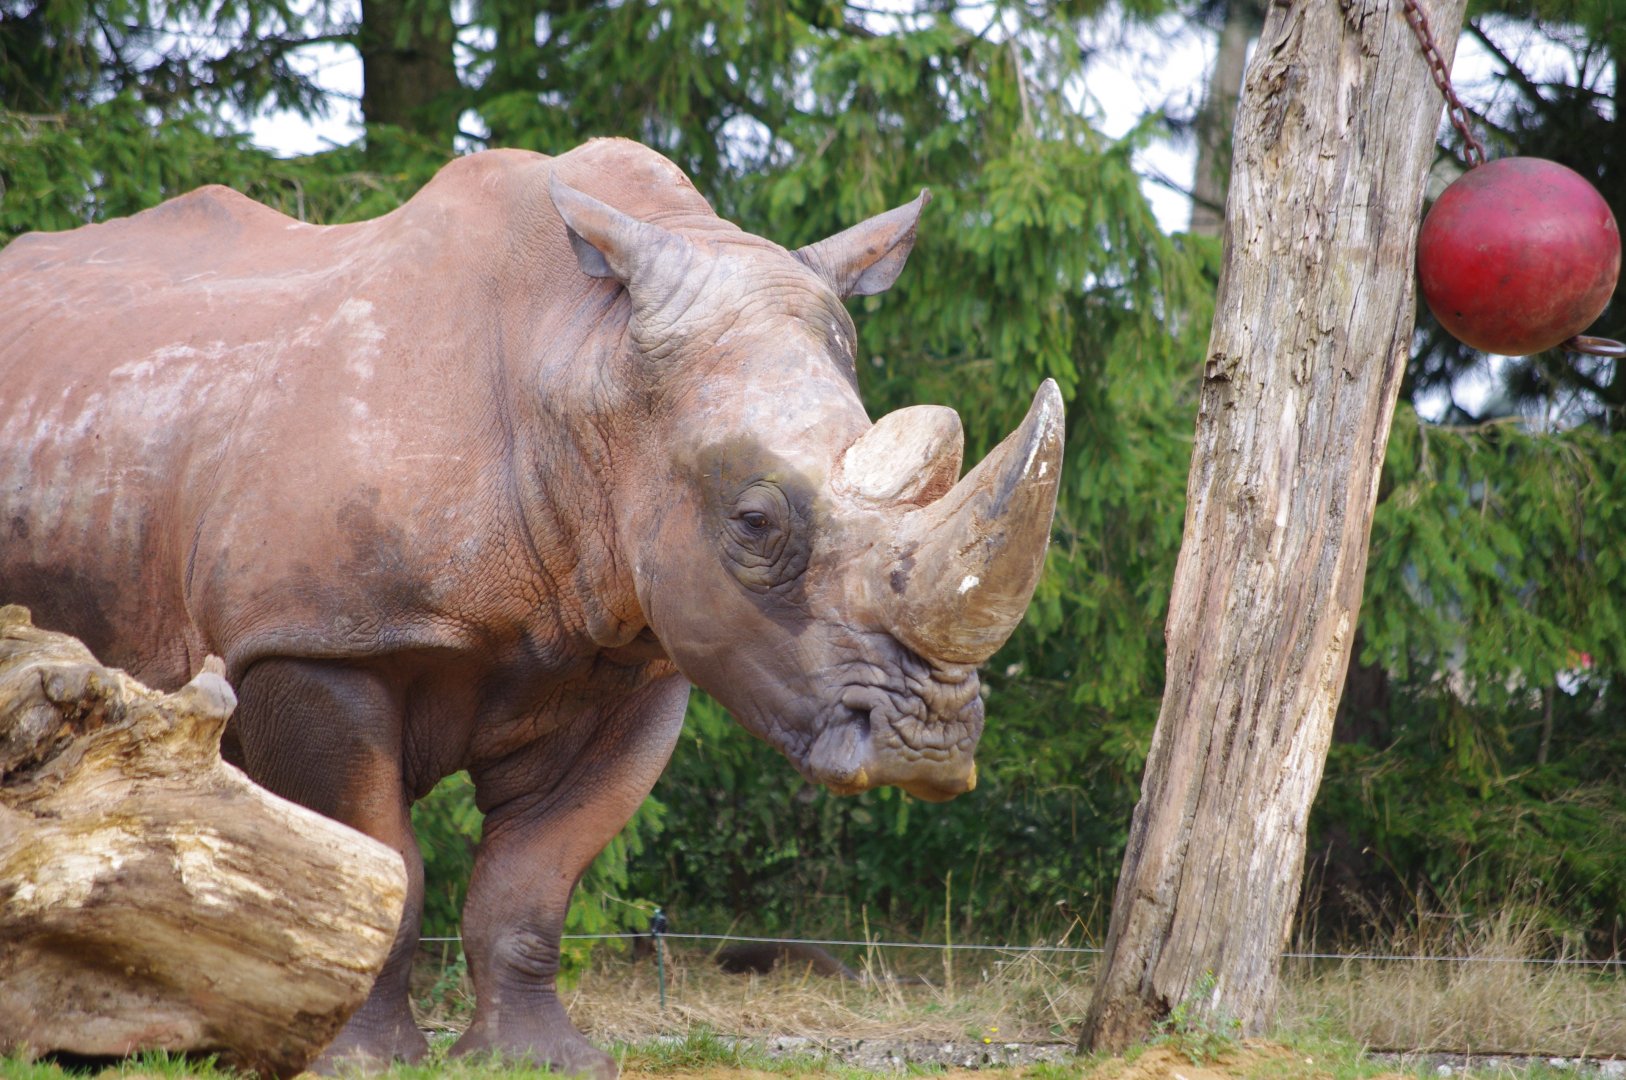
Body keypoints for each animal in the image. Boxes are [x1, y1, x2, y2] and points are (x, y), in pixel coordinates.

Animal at [0, 138, 1062, 1075]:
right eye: (756, 522)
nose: (927, 746)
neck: (586, 368)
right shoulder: (317, 641)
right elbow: (379, 863)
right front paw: (359, 1061)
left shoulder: (630, 656)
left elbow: (532, 881)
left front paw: (541, 1060)